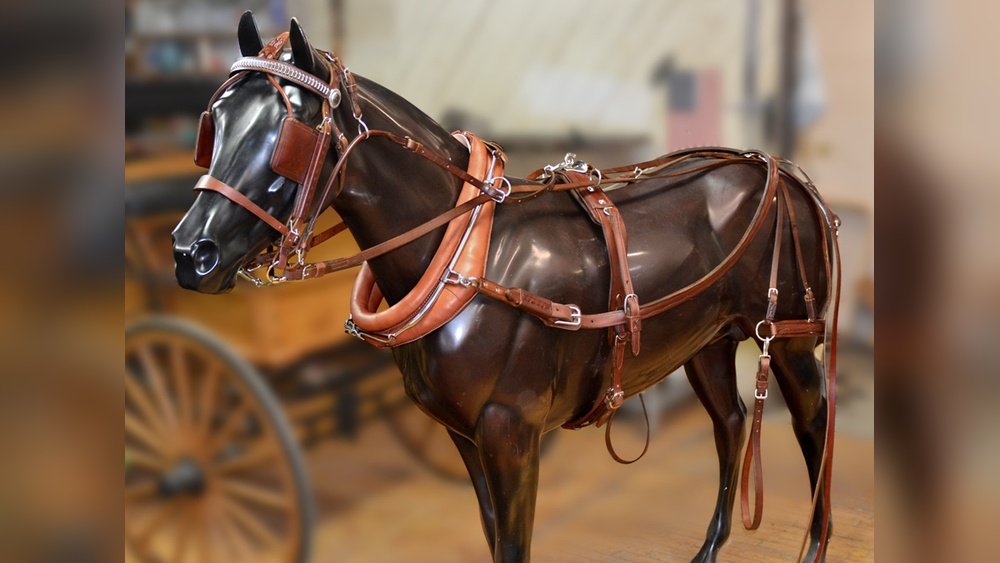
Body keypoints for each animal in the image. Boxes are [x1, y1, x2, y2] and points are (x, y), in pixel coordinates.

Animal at [172, 13, 840, 562]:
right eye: (214, 125)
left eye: (289, 132)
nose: (190, 254)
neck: (465, 257)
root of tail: (783, 170)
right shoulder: (463, 434)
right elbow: (493, 535)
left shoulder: (510, 434)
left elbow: (515, 544)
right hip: (705, 339)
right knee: (730, 422)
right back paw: (710, 545)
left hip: (786, 336)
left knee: (814, 423)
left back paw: (816, 541)